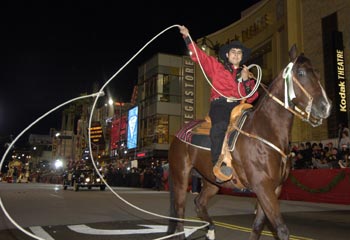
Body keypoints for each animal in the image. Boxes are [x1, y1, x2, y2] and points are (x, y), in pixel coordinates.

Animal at [166, 44, 330, 239]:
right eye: (301, 72)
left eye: (318, 73)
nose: (325, 107)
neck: (266, 130)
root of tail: (179, 133)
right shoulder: (263, 186)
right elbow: (281, 229)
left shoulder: (274, 189)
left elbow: (257, 226)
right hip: (180, 177)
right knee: (180, 213)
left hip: (211, 182)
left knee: (199, 202)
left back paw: (211, 230)